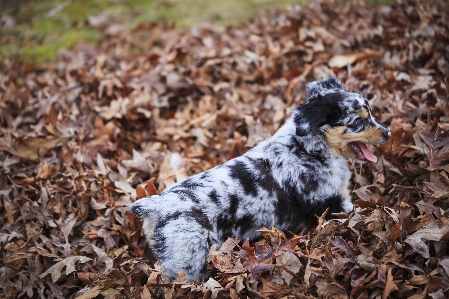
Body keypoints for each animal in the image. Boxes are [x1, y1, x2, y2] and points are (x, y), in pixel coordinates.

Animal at [129, 77, 388, 282]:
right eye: (358, 122)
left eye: (371, 113)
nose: (389, 132)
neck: (307, 149)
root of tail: (156, 205)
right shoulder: (336, 204)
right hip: (188, 261)